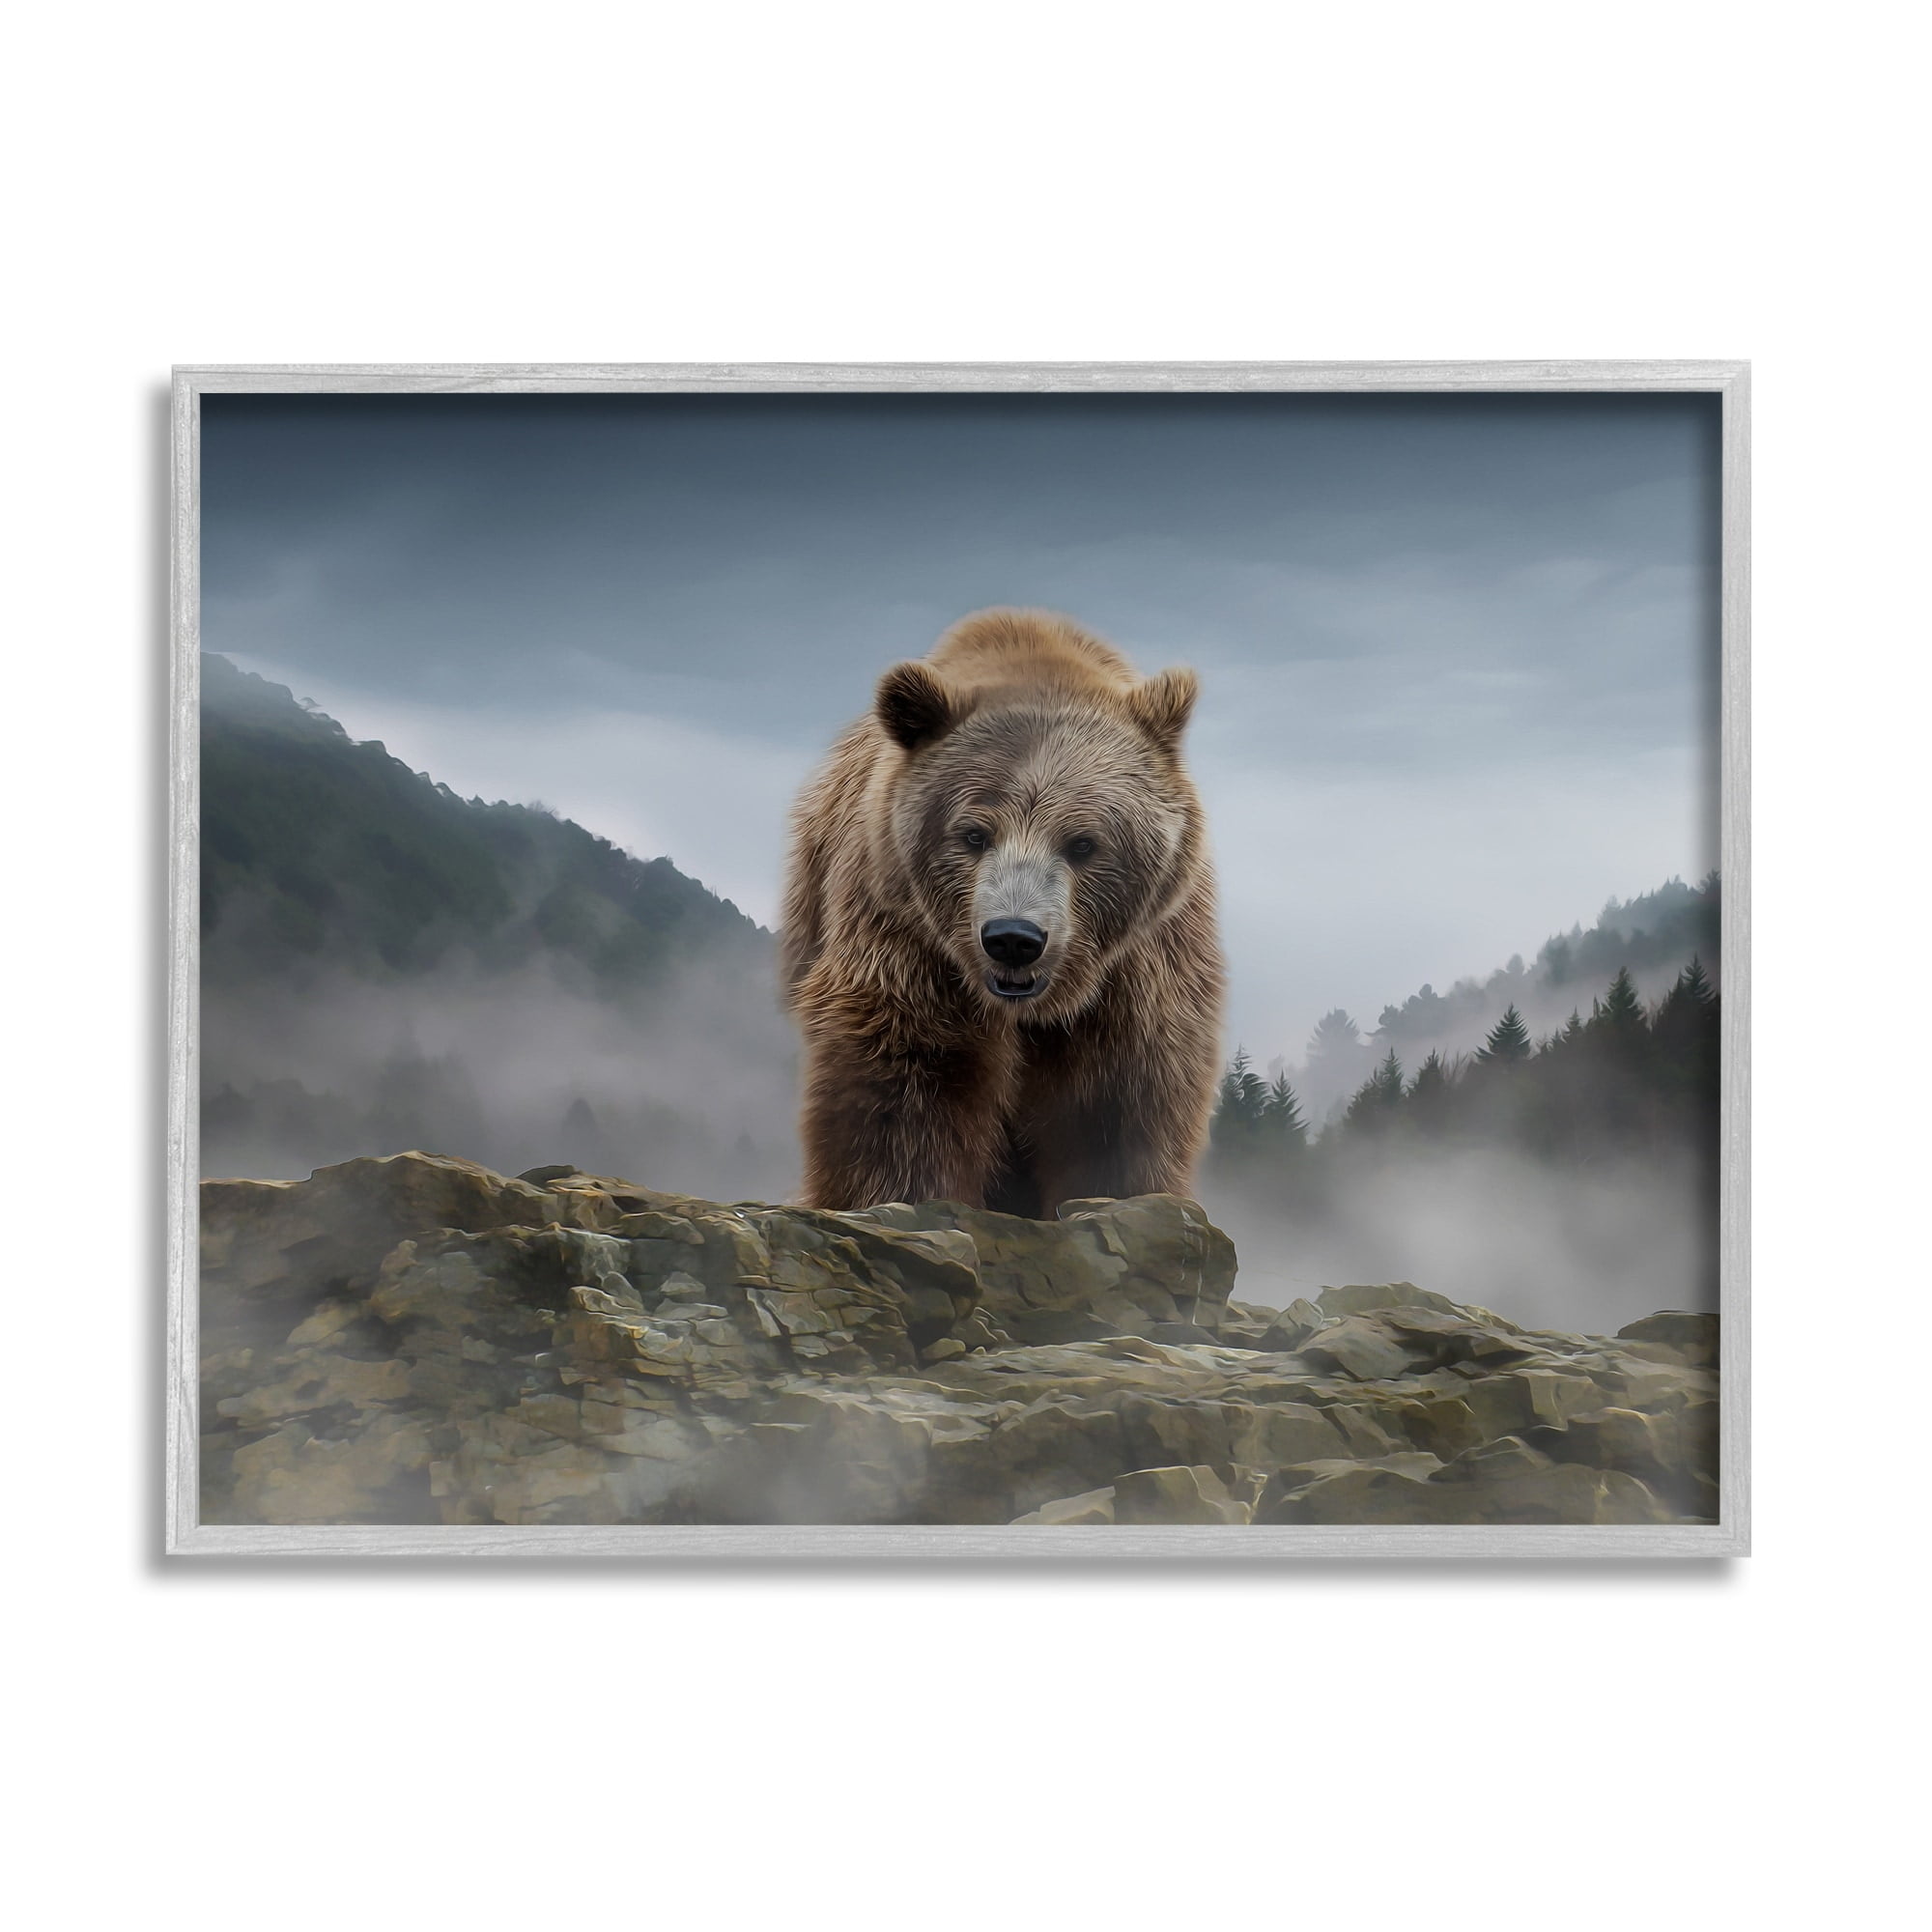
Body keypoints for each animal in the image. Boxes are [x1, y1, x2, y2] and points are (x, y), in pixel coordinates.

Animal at [780, 607, 1225, 1216]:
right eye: (973, 834)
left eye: (1083, 843)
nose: (1014, 938)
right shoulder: (905, 934)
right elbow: (911, 1076)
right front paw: (904, 1195)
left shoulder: (1142, 963)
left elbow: (1120, 1098)